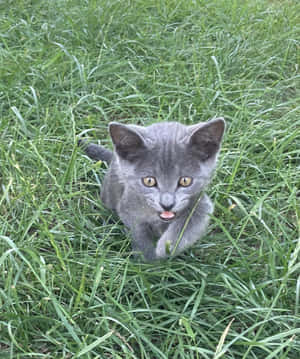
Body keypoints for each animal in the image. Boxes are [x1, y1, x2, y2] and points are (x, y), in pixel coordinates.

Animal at [79, 118, 225, 262]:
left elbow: (192, 220)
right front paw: (148, 261)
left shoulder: (200, 201)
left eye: (185, 181)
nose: (167, 205)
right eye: (149, 181)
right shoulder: (129, 205)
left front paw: (166, 247)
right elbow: (138, 233)